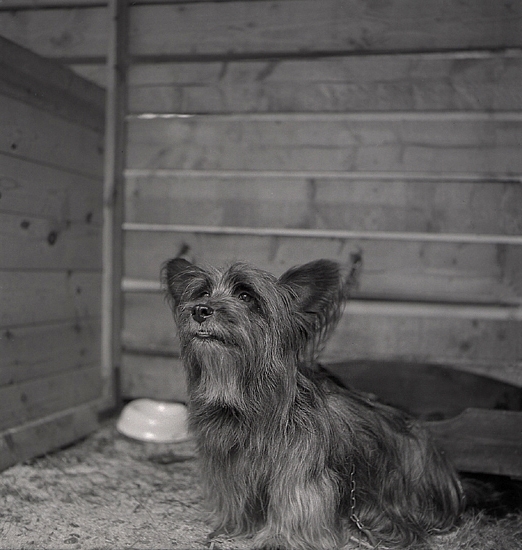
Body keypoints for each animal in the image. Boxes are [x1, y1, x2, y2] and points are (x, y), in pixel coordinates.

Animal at [164, 260, 464, 550]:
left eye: (246, 296)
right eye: (202, 293)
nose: (200, 310)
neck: (248, 403)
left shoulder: (300, 470)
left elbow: (296, 500)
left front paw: (281, 539)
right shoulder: (229, 465)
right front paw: (235, 526)